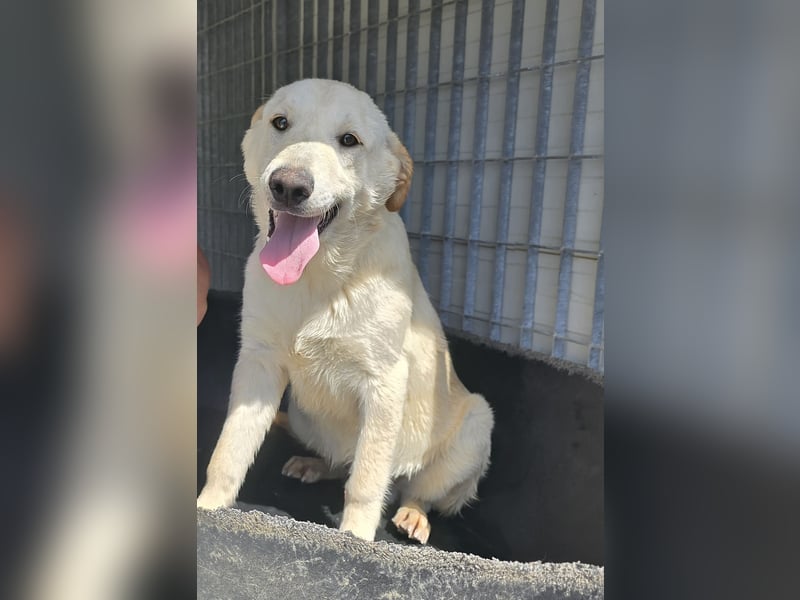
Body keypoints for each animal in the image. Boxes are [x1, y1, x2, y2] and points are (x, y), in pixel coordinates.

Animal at [197, 79, 493, 544]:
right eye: (280, 122)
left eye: (349, 140)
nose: (288, 186)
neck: (317, 278)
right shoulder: (257, 364)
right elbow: (229, 449)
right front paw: (209, 508)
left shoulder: (385, 381)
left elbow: (367, 481)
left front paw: (353, 540)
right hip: (305, 417)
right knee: (342, 464)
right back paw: (315, 465)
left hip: (476, 425)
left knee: (413, 488)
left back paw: (414, 514)